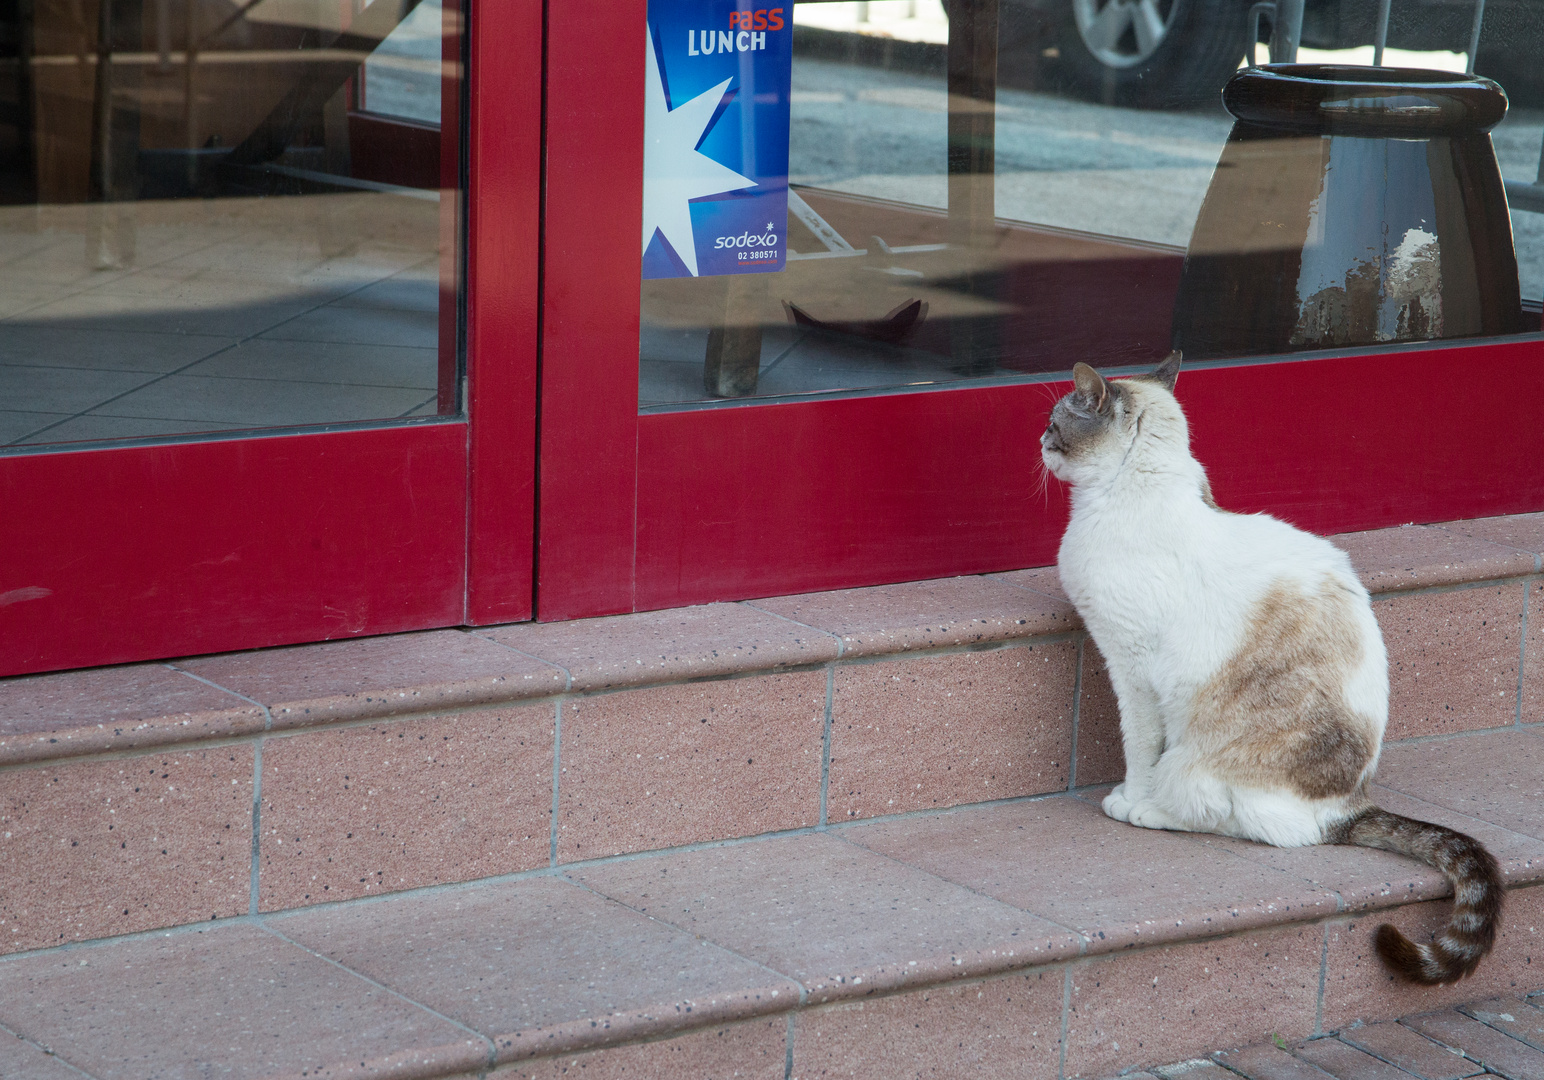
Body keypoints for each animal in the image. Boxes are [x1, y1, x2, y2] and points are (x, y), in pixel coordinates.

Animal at [1043, 350, 1500, 982]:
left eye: (1055, 423)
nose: (1040, 443)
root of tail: (1349, 807)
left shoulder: (1129, 668)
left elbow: (1137, 747)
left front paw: (1128, 799)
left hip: (1192, 764)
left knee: (1239, 821)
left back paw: (1151, 812)